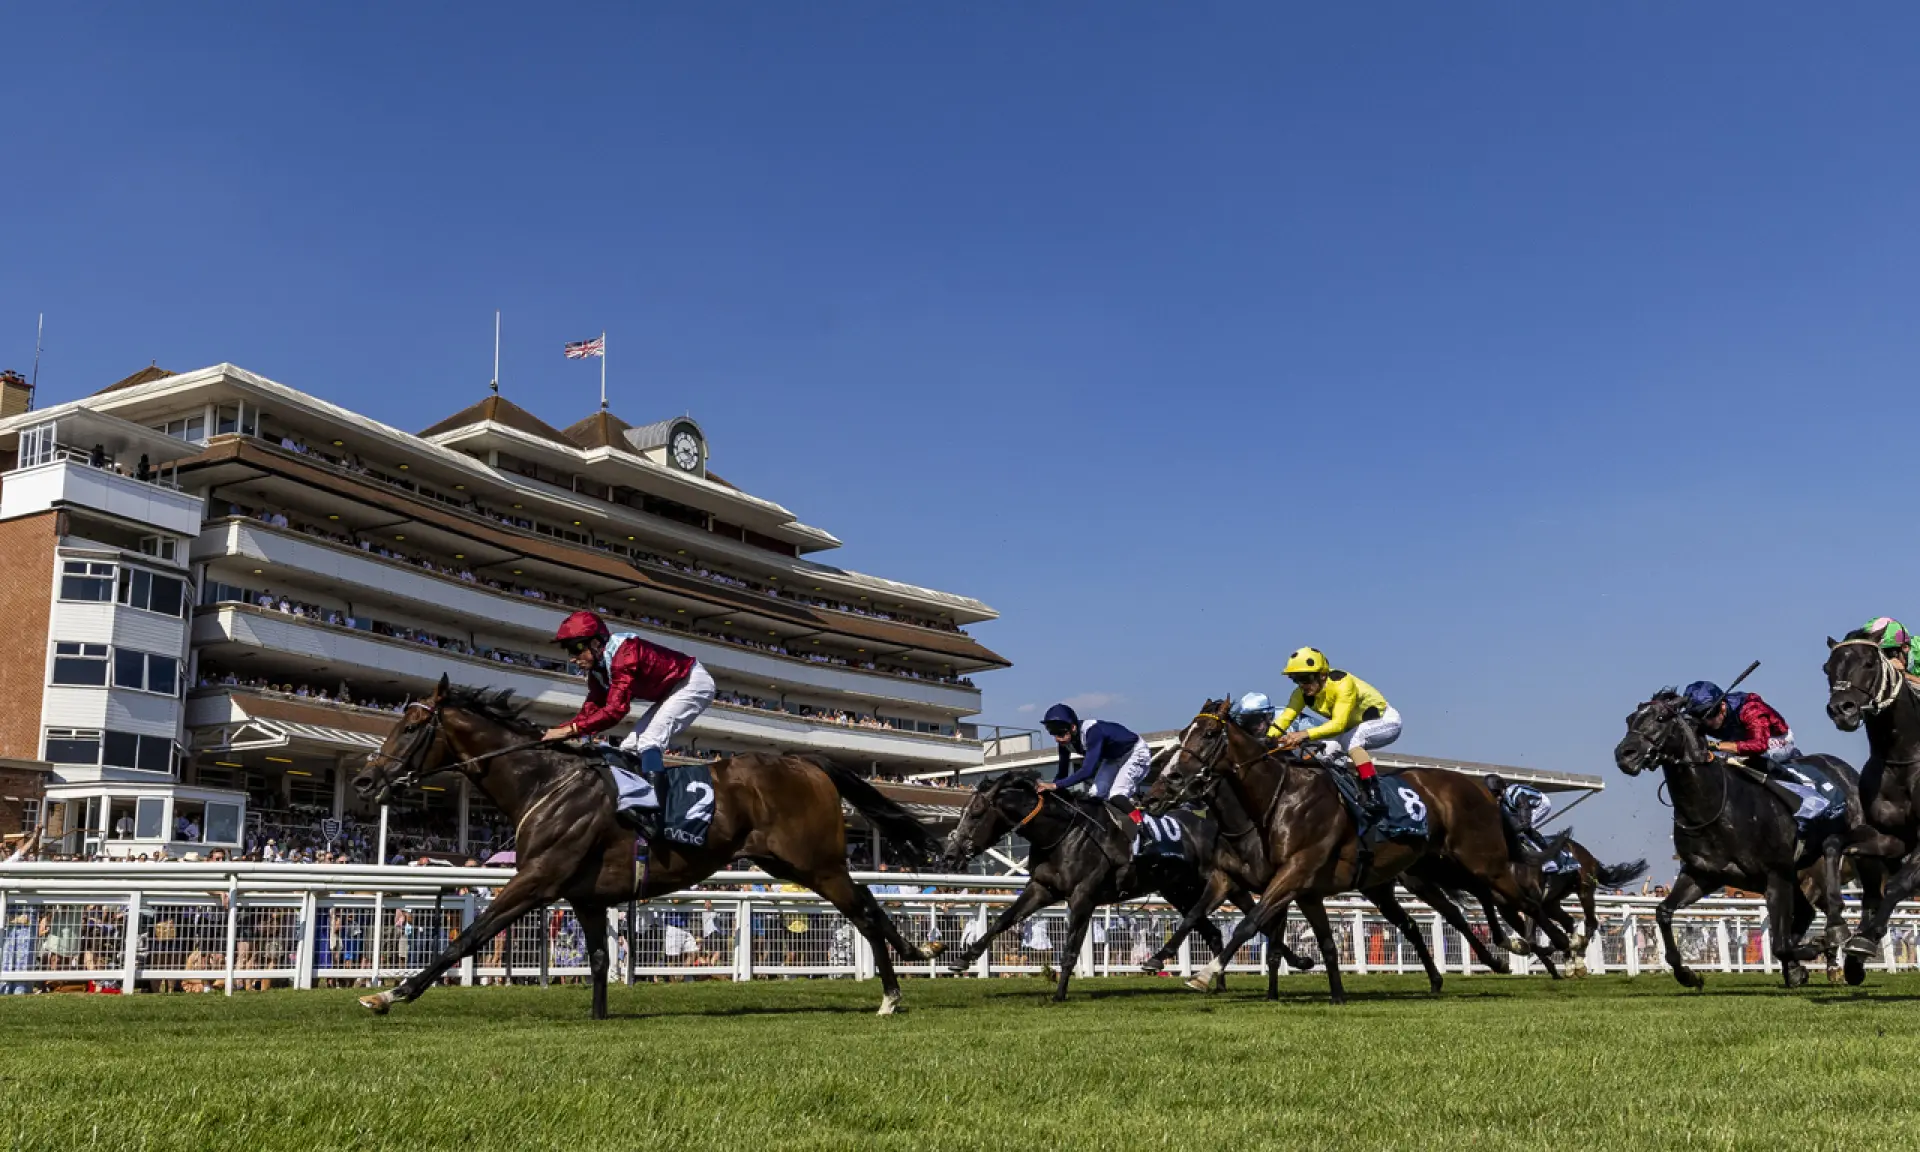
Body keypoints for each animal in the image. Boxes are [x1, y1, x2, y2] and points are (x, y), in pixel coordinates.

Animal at [351, 675, 944, 1013]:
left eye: (410, 728)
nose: (365, 780)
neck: (545, 782)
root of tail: (808, 761)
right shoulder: (584, 897)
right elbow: (596, 959)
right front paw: (599, 1016)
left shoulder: (536, 879)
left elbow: (467, 937)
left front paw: (391, 993)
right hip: (788, 864)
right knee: (868, 903)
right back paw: (917, 957)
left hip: (817, 863)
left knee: (864, 910)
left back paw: (893, 993)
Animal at [933, 775, 1313, 998]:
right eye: (962, 812)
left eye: (976, 813)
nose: (950, 854)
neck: (1062, 832)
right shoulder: (1042, 888)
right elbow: (1003, 920)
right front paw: (962, 959)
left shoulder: (1083, 895)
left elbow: (1071, 945)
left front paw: (1059, 992)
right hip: (1178, 890)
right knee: (1213, 931)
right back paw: (1214, 983)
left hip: (1224, 884)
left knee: (1258, 918)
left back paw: (1299, 961)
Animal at [1136, 698, 1559, 1006]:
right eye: (1180, 736)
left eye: (1209, 734)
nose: (1155, 792)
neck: (1275, 801)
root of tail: (1481, 790)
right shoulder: (1271, 883)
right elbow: (1201, 914)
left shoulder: (1291, 874)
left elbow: (1250, 924)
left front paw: (1205, 975)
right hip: (1419, 874)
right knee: (1446, 913)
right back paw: (1486, 961)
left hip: (1477, 860)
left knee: (1521, 902)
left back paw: (1556, 949)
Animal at [1612, 687, 1866, 983]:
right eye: (1629, 719)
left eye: (1662, 717)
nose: (1625, 754)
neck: (1715, 806)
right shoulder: (1702, 874)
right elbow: (1663, 912)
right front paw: (1687, 974)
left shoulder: (1775, 873)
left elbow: (1780, 945)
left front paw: (1813, 949)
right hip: (1799, 874)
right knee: (1807, 911)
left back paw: (1841, 940)